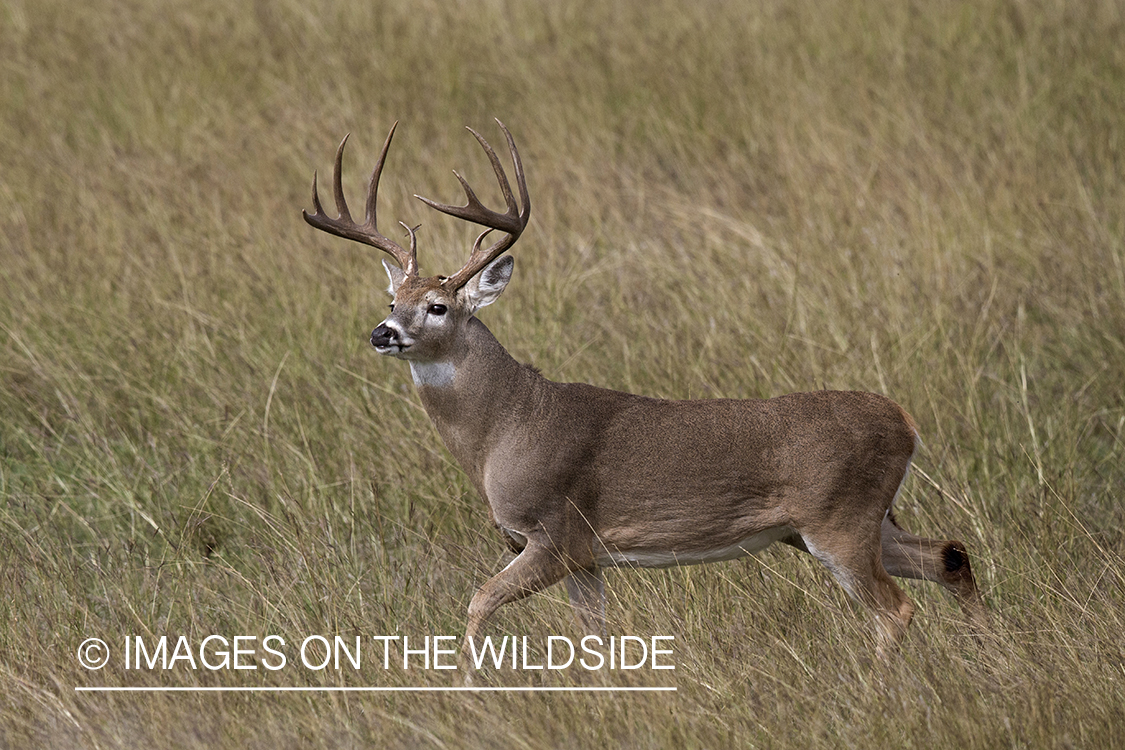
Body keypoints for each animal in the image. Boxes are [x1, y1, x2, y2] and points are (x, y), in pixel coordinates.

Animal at [303, 118, 990, 661]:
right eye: (391, 299)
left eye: (439, 306)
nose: (382, 332)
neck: (504, 427)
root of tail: (904, 421)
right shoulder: (585, 558)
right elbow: (593, 638)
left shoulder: (555, 533)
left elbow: (478, 602)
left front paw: (468, 684)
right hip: (857, 522)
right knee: (951, 555)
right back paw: (987, 655)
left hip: (838, 518)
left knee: (897, 607)